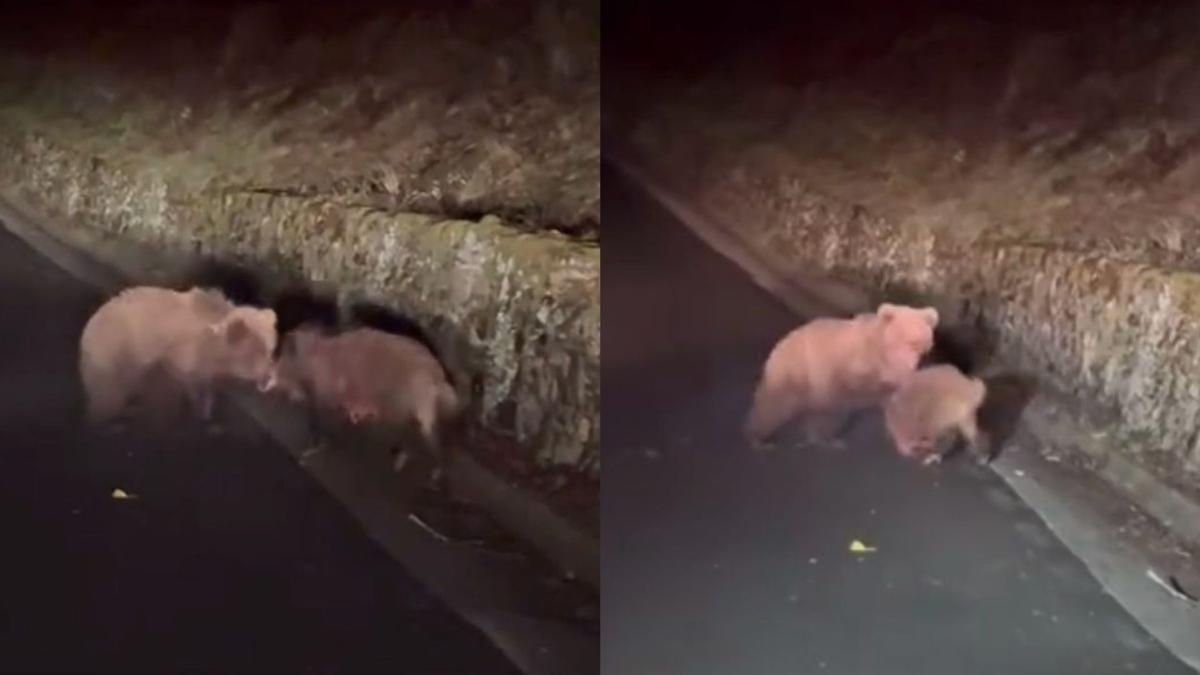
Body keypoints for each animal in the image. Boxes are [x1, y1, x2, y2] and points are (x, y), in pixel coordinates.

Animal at [77, 284, 278, 422]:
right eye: (255, 352)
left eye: (270, 349)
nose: (270, 379)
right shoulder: (178, 357)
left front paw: (205, 410)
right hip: (113, 359)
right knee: (108, 398)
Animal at [748, 303, 936, 446]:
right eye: (902, 337)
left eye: (919, 343)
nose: (910, 364)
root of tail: (779, 345)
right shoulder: (855, 363)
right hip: (794, 372)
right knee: (773, 408)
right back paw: (758, 439)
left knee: (820, 417)